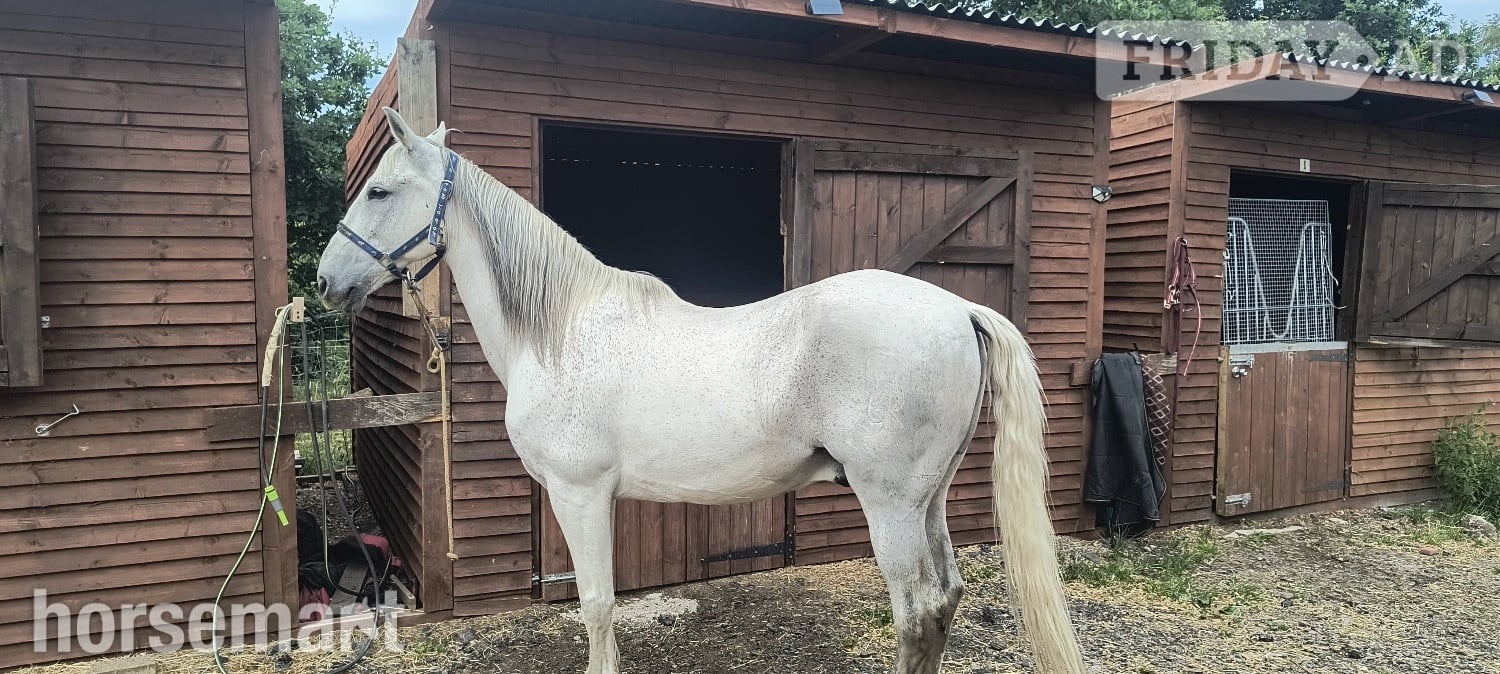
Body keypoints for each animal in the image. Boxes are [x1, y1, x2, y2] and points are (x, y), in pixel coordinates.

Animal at [316, 108, 1085, 674]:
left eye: (380, 191)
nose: (326, 281)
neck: (561, 330)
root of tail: (958, 309)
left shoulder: (579, 492)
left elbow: (596, 604)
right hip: (931, 498)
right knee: (946, 598)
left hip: (890, 502)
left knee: (917, 610)